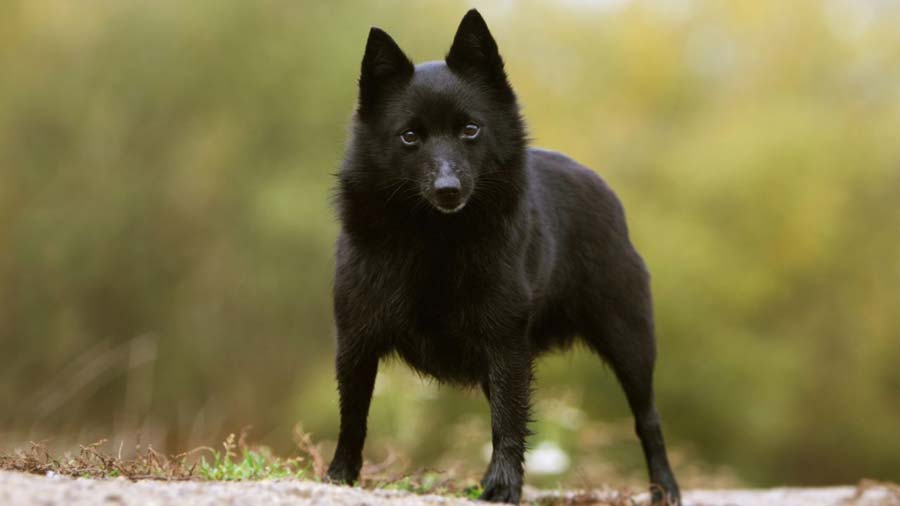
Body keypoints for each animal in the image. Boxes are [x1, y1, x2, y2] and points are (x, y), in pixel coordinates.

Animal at [326, 9, 680, 504]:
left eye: (470, 129)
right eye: (410, 136)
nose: (448, 189)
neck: (434, 239)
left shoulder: (505, 342)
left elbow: (508, 422)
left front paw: (503, 486)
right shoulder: (356, 339)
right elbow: (353, 417)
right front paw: (340, 476)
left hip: (629, 340)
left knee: (648, 419)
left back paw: (665, 488)